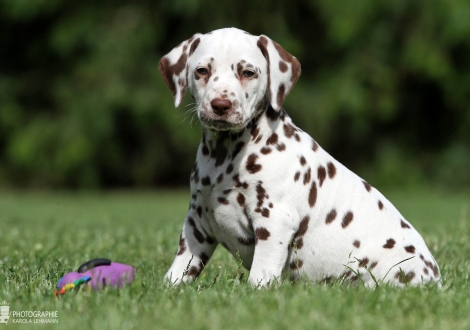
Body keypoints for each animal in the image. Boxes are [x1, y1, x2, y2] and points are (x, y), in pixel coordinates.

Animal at [158, 27, 440, 286]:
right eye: (202, 71)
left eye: (248, 73)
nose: (220, 105)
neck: (224, 155)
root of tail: (434, 278)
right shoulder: (197, 221)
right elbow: (180, 267)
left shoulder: (274, 221)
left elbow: (260, 274)